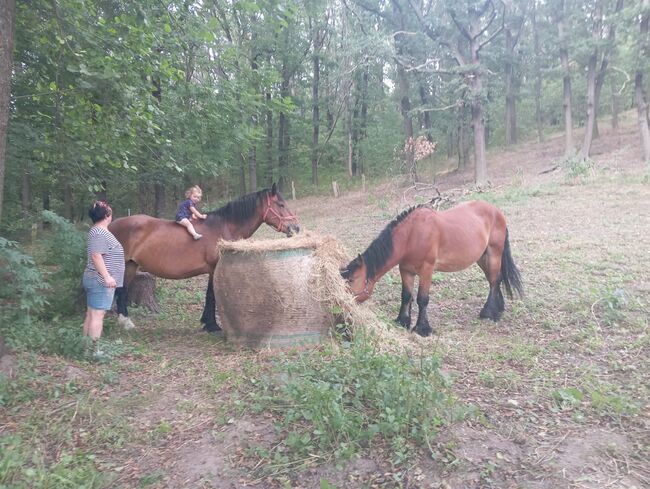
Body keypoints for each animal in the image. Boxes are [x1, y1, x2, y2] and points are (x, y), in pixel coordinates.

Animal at [109, 183, 298, 332]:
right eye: (281, 204)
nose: (296, 227)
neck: (224, 226)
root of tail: (110, 226)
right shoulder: (214, 268)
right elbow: (211, 295)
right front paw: (212, 325)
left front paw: (207, 323)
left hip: (131, 265)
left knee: (122, 290)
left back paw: (125, 322)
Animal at [340, 199, 520, 336]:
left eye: (352, 279)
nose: (343, 307)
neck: (412, 235)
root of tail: (496, 211)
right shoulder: (405, 270)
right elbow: (406, 295)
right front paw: (402, 321)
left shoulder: (427, 270)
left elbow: (422, 298)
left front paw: (422, 328)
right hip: (482, 258)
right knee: (494, 280)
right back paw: (498, 309)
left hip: (494, 254)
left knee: (495, 281)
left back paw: (489, 313)